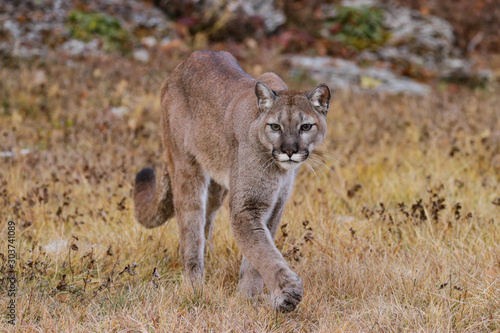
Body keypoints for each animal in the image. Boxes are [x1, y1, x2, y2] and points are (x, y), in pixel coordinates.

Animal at [133, 50, 330, 312]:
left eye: (306, 126)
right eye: (275, 126)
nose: (289, 151)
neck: (278, 170)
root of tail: (182, 64)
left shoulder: (274, 206)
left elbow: (257, 253)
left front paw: (250, 296)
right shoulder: (247, 208)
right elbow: (264, 253)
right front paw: (284, 293)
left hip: (218, 186)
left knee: (207, 220)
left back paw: (210, 259)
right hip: (187, 170)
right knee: (190, 229)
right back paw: (195, 285)